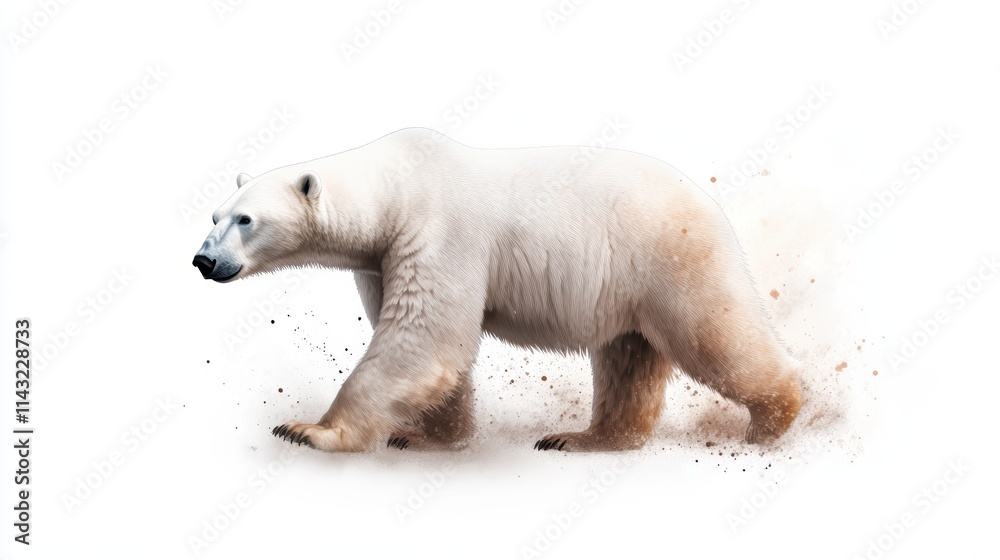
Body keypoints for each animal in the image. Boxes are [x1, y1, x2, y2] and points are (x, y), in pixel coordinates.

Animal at [192, 127, 802, 453]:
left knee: (713, 334)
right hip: (628, 282)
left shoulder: (440, 233)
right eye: (215, 215)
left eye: (245, 220)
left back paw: (772, 421)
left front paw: (308, 430)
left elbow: (425, 339)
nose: (203, 260)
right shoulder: (381, 261)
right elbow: (438, 352)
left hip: (668, 255)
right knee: (628, 357)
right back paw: (580, 438)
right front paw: (427, 438)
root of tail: (708, 200)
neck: (397, 184)